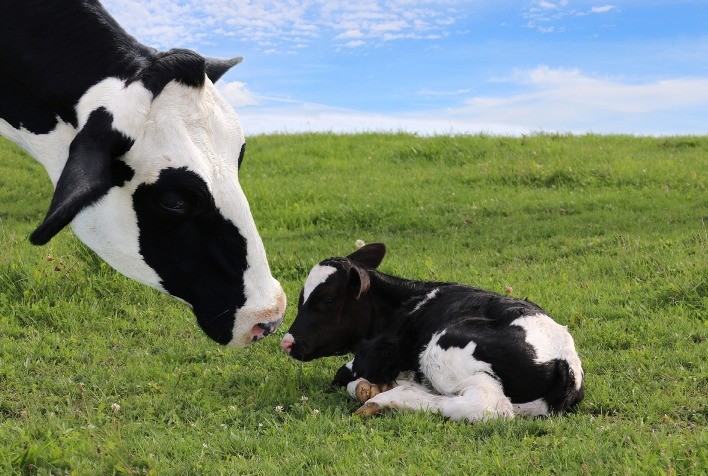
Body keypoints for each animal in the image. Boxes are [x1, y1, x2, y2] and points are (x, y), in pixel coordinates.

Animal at [280, 243, 584, 421]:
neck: (403, 304)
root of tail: (565, 362)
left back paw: (389, 398)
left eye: (328, 300)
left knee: (486, 405)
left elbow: (343, 376)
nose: (287, 342)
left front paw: (371, 387)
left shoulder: (373, 356)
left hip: (444, 349)